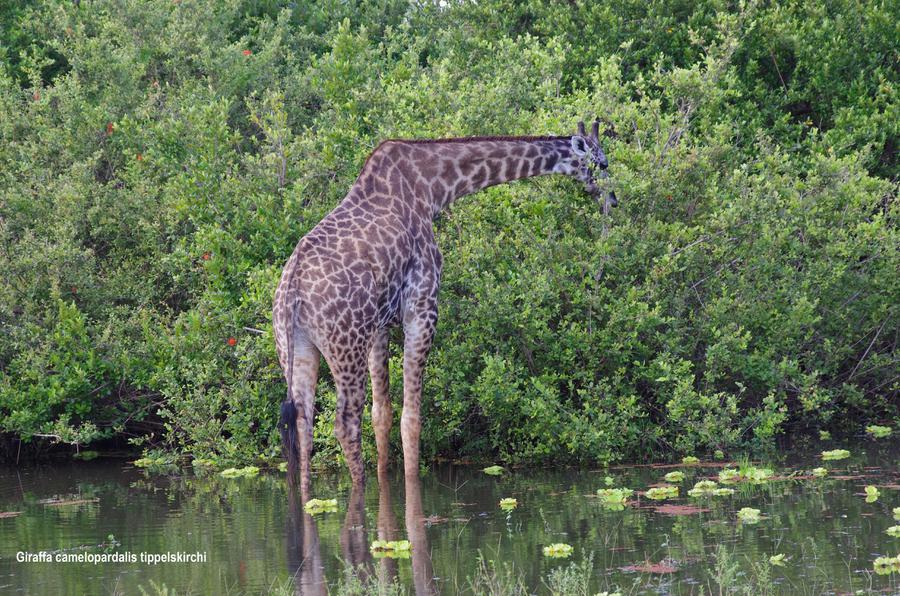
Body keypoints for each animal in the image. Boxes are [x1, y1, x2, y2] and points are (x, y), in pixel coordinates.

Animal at [272, 118, 612, 492]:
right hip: (346, 346)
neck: (434, 187)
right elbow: (412, 418)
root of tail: (291, 292)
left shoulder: (379, 325)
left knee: (303, 423)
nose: (612, 199)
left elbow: (382, 414)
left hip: (296, 348)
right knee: (345, 423)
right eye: (602, 163)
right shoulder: (422, 307)